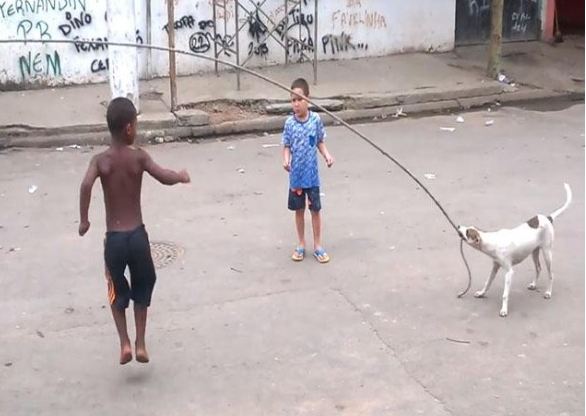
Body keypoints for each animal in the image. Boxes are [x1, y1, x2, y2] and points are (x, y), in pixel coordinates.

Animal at [456, 184, 572, 316]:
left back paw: (548, 292)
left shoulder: (509, 272)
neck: (493, 241)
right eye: (467, 228)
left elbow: (505, 294)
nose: (458, 226)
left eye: (467, 232)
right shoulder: (495, 267)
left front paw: (504, 309)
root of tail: (548, 218)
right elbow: (488, 282)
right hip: (534, 251)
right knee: (538, 268)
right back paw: (534, 284)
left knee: (551, 274)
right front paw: (482, 293)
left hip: (547, 252)